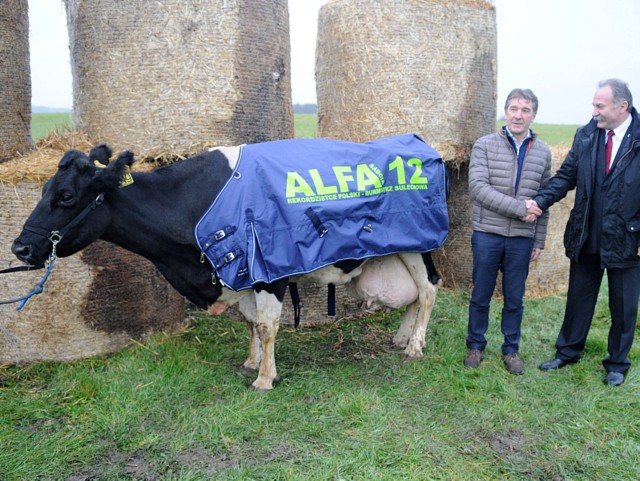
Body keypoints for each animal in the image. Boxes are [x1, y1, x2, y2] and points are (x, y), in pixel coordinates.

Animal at [13, 141, 444, 388]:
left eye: (66, 196)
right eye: (44, 189)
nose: (19, 248)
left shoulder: (269, 268)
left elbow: (267, 325)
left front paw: (265, 378)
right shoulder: (238, 273)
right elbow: (251, 322)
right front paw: (252, 362)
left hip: (417, 244)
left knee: (427, 290)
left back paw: (415, 346)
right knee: (415, 294)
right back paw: (403, 337)